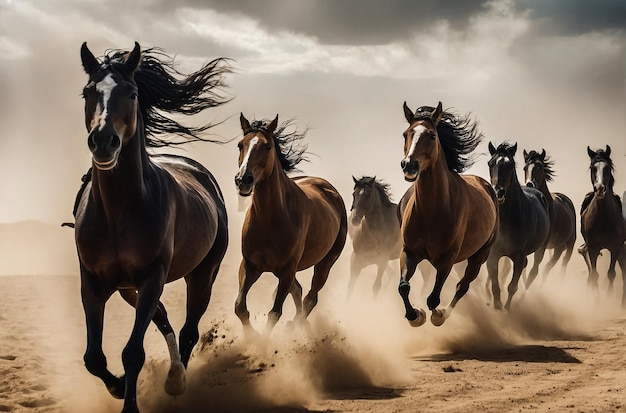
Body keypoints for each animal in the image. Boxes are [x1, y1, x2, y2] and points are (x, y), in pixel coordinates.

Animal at [73, 43, 229, 410]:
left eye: (131, 93)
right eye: (88, 91)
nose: (103, 141)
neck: (117, 213)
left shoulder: (152, 276)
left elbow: (133, 352)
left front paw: (130, 402)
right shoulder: (93, 283)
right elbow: (93, 358)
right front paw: (118, 387)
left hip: (202, 275)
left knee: (188, 331)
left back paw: (178, 383)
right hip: (127, 289)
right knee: (164, 318)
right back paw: (170, 376)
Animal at [233, 114, 346, 334]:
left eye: (267, 146)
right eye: (240, 144)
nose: (243, 180)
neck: (270, 220)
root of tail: (329, 189)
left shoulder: (286, 271)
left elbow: (274, 313)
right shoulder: (250, 265)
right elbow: (240, 307)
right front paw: (251, 337)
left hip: (325, 263)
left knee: (311, 297)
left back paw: (297, 326)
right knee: (300, 291)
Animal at [398, 100, 494, 326]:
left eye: (432, 135)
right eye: (406, 134)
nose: (409, 165)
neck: (431, 211)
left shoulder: (447, 260)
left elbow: (433, 298)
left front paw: (435, 315)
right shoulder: (409, 252)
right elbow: (404, 287)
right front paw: (415, 316)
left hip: (480, 255)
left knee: (462, 286)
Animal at [486, 142, 548, 308]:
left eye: (510, 165)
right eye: (490, 164)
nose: (498, 192)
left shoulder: (519, 258)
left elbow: (512, 286)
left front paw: (506, 309)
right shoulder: (493, 256)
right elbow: (495, 286)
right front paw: (497, 307)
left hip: (540, 250)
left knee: (532, 270)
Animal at [520, 150, 576, 282]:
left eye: (539, 167)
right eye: (525, 168)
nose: (530, 184)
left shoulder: (542, 246)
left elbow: (534, 270)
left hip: (569, 245)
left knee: (561, 264)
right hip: (559, 247)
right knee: (549, 265)